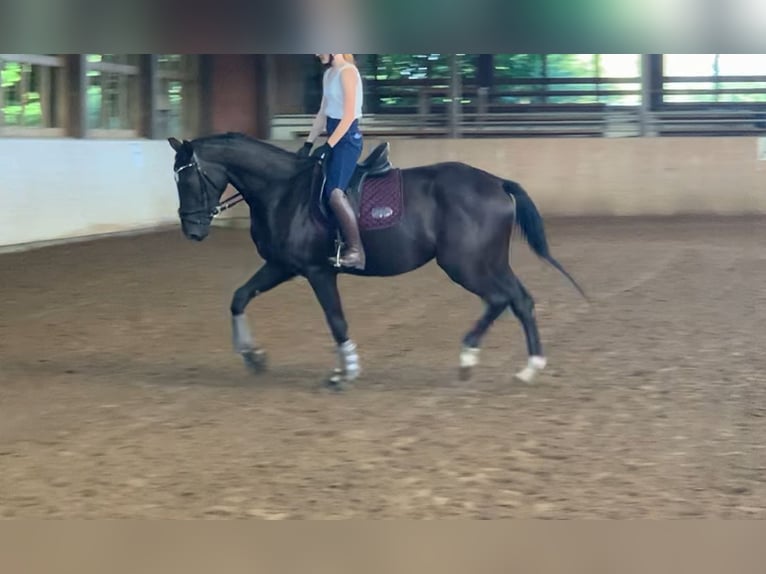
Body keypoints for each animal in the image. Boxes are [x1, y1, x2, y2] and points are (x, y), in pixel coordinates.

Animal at [168, 132, 586, 389]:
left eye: (188, 179)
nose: (192, 230)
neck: (283, 191)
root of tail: (497, 183)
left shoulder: (318, 271)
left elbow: (336, 320)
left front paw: (345, 373)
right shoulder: (283, 266)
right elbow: (240, 297)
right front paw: (252, 356)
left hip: (465, 264)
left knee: (501, 299)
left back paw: (471, 357)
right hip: (490, 262)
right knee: (520, 300)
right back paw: (528, 368)